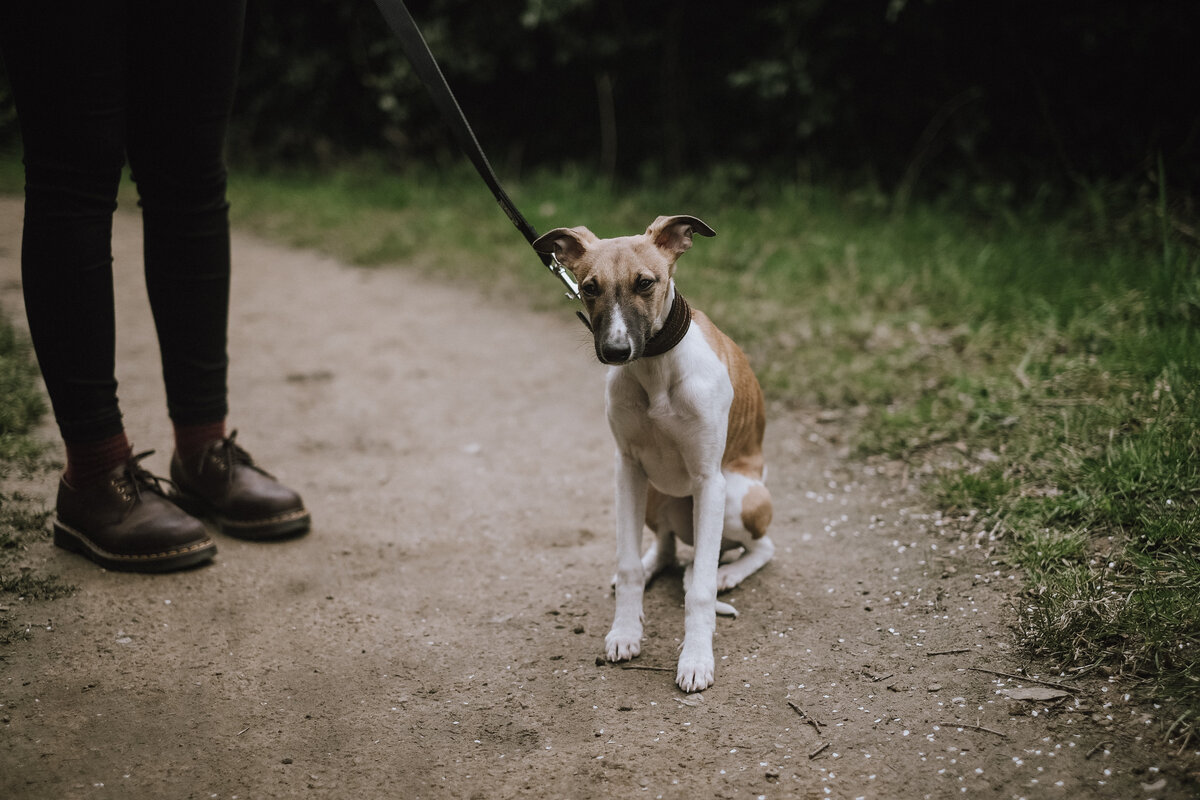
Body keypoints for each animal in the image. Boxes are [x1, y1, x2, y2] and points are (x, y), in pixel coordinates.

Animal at [537, 215, 777, 690]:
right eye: (589, 287)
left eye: (645, 282)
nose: (615, 352)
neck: (654, 369)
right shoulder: (627, 468)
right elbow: (628, 563)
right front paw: (625, 632)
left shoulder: (709, 480)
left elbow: (699, 590)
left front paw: (696, 659)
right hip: (652, 494)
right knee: (665, 547)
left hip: (738, 496)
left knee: (760, 548)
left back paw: (727, 572)